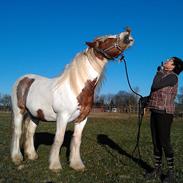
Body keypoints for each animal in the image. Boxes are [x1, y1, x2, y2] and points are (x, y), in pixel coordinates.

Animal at [11, 28, 134, 172]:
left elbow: (76, 140)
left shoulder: (82, 119)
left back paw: (31, 155)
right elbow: (59, 139)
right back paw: (17, 158)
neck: (76, 88)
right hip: (19, 111)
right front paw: (55, 166)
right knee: (18, 132)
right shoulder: (62, 117)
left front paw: (77, 164)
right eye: (103, 40)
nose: (127, 34)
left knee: (30, 132)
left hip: (34, 114)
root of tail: (23, 79)